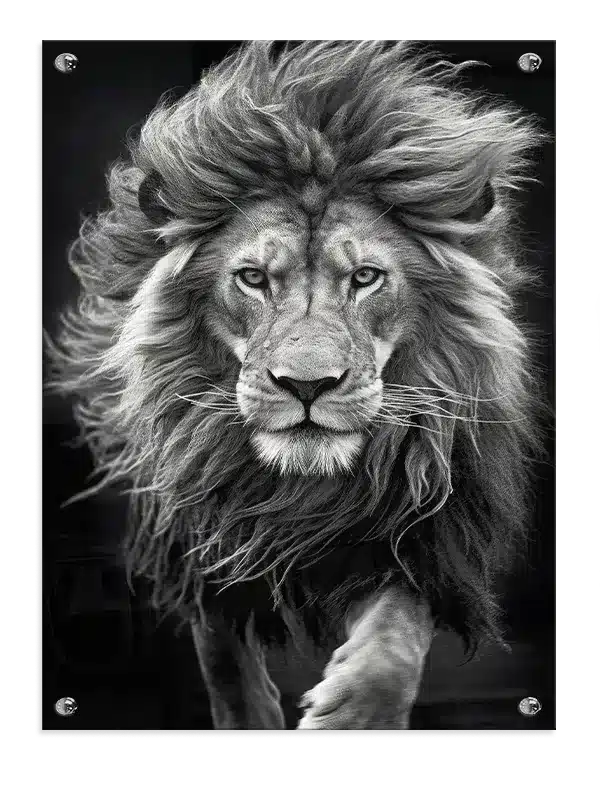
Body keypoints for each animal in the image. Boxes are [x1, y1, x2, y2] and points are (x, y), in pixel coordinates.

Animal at [47, 40, 545, 730]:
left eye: (365, 276)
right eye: (253, 277)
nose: (306, 386)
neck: (300, 491)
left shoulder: (418, 529)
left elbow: (395, 636)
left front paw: (356, 714)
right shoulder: (202, 539)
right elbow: (227, 665)